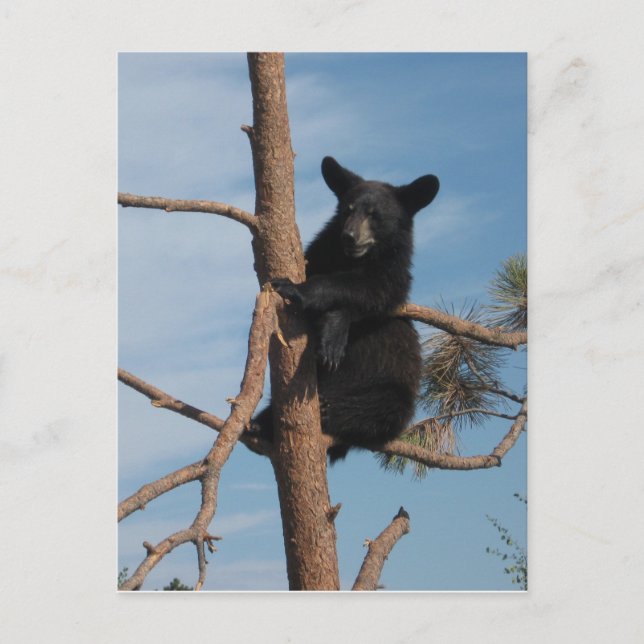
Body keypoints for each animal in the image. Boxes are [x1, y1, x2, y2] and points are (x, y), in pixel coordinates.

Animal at [253, 156, 439, 462]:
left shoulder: (393, 276)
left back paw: (328, 410)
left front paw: (305, 298)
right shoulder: (321, 254)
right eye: (347, 209)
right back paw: (260, 423)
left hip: (393, 389)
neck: (351, 259)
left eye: (375, 215)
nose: (349, 236)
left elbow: (369, 292)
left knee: (381, 410)